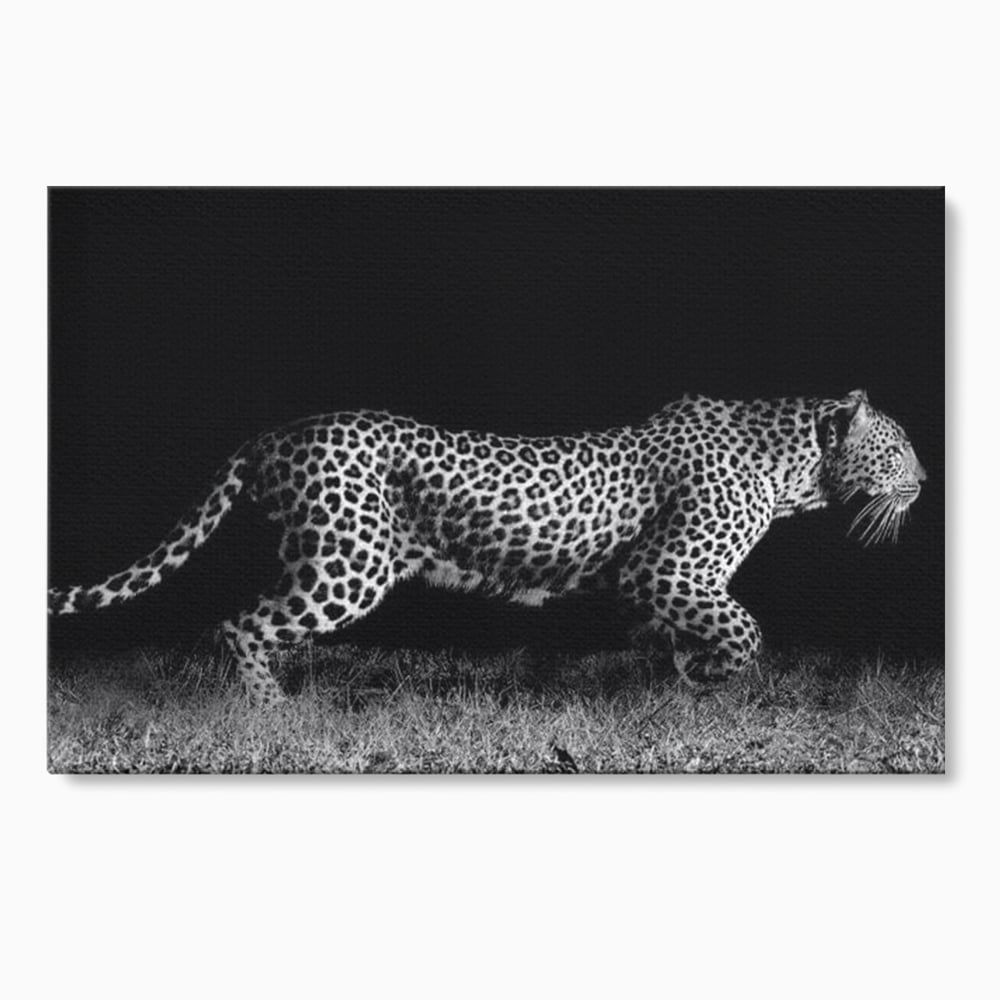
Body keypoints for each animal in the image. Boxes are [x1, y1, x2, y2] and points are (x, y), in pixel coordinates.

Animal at [49, 389, 926, 705]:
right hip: (347, 564)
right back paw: (273, 713)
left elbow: (673, 640)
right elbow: (746, 630)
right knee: (240, 625)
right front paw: (710, 677)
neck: (794, 470)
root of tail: (276, 432)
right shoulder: (668, 569)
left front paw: (673, 689)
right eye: (899, 448)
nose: (923, 480)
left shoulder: (652, 586)